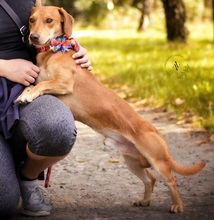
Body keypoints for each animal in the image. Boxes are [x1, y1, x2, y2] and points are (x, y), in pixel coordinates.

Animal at [15, 6, 206, 213]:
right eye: (32, 19)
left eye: (49, 20)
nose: (33, 37)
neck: (54, 51)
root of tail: (155, 130)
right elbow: (30, 86)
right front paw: (24, 95)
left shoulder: (63, 82)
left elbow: (41, 86)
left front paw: (28, 95)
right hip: (132, 161)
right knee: (150, 178)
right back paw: (145, 200)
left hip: (158, 160)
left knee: (172, 180)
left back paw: (177, 205)